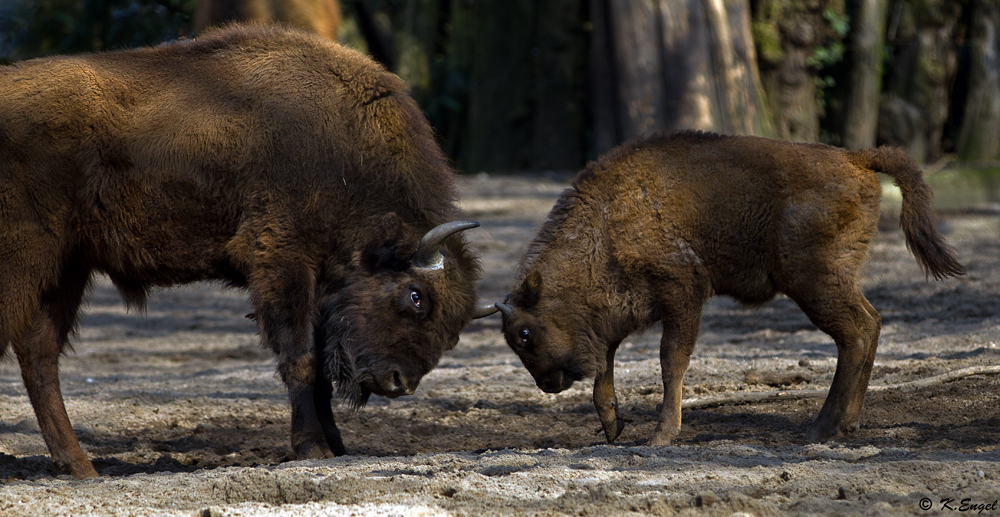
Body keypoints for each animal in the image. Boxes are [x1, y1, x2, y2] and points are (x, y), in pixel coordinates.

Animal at [0, 23, 498, 476]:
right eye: (415, 296)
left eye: (454, 332)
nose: (398, 382)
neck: (341, 148)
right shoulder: (283, 263)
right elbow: (300, 359)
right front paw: (313, 448)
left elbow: (318, 370)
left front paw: (336, 447)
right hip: (28, 261)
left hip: (67, 269)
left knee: (39, 355)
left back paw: (80, 466)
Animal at [496, 131, 964, 446]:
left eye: (525, 333)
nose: (548, 385)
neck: (607, 224)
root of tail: (858, 159)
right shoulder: (618, 317)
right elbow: (606, 369)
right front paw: (614, 427)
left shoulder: (683, 294)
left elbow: (671, 361)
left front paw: (662, 435)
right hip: (835, 282)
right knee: (871, 324)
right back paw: (845, 424)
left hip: (814, 283)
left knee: (857, 332)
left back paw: (822, 427)